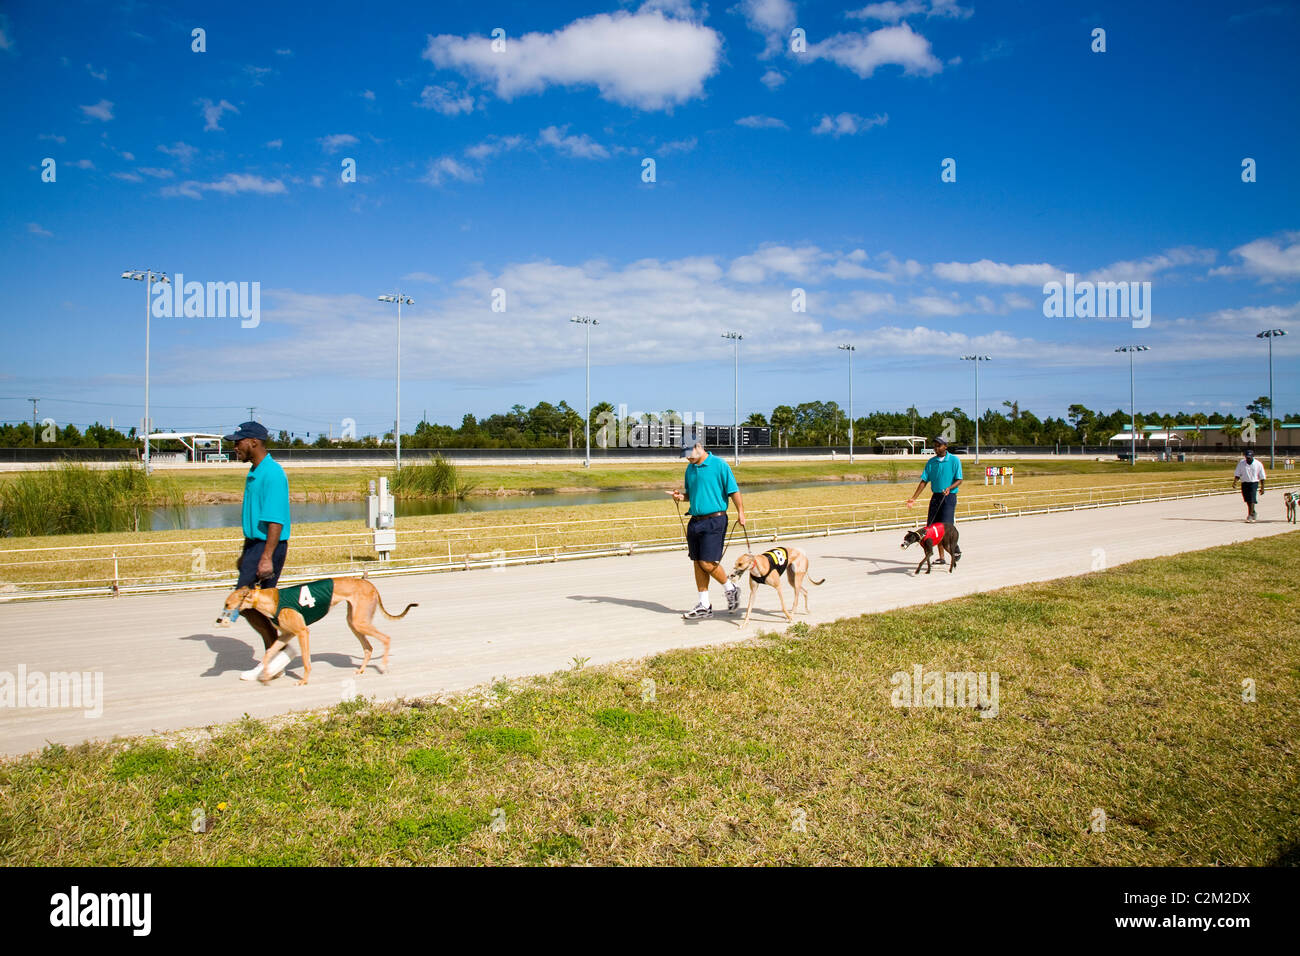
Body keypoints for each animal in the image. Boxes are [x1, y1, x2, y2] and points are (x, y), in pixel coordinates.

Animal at [215, 580, 413, 686]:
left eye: (227, 604)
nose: (217, 621)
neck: (269, 600)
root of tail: (369, 584)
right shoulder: (286, 634)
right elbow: (269, 652)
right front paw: (264, 674)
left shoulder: (302, 632)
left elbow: (305, 661)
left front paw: (303, 681)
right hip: (354, 623)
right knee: (368, 647)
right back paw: (362, 670)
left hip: (360, 623)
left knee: (386, 638)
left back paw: (384, 667)